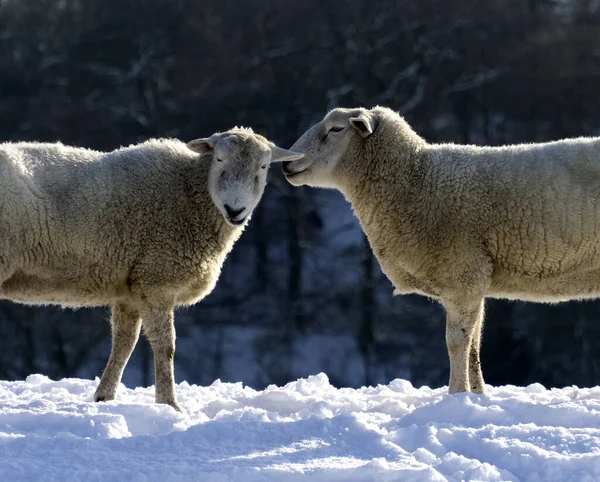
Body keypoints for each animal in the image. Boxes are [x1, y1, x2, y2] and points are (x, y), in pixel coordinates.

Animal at [0, 129, 300, 410]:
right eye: (219, 159)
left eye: (263, 167)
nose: (235, 209)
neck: (190, 193)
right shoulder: (158, 280)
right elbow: (166, 346)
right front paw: (169, 404)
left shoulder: (130, 288)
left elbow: (124, 343)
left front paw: (105, 397)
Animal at [284, 106, 600, 396]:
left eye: (336, 129)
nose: (287, 164)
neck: (415, 180)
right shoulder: (474, 280)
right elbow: (474, 344)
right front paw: (477, 395)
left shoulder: (462, 274)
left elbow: (457, 343)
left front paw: (457, 395)